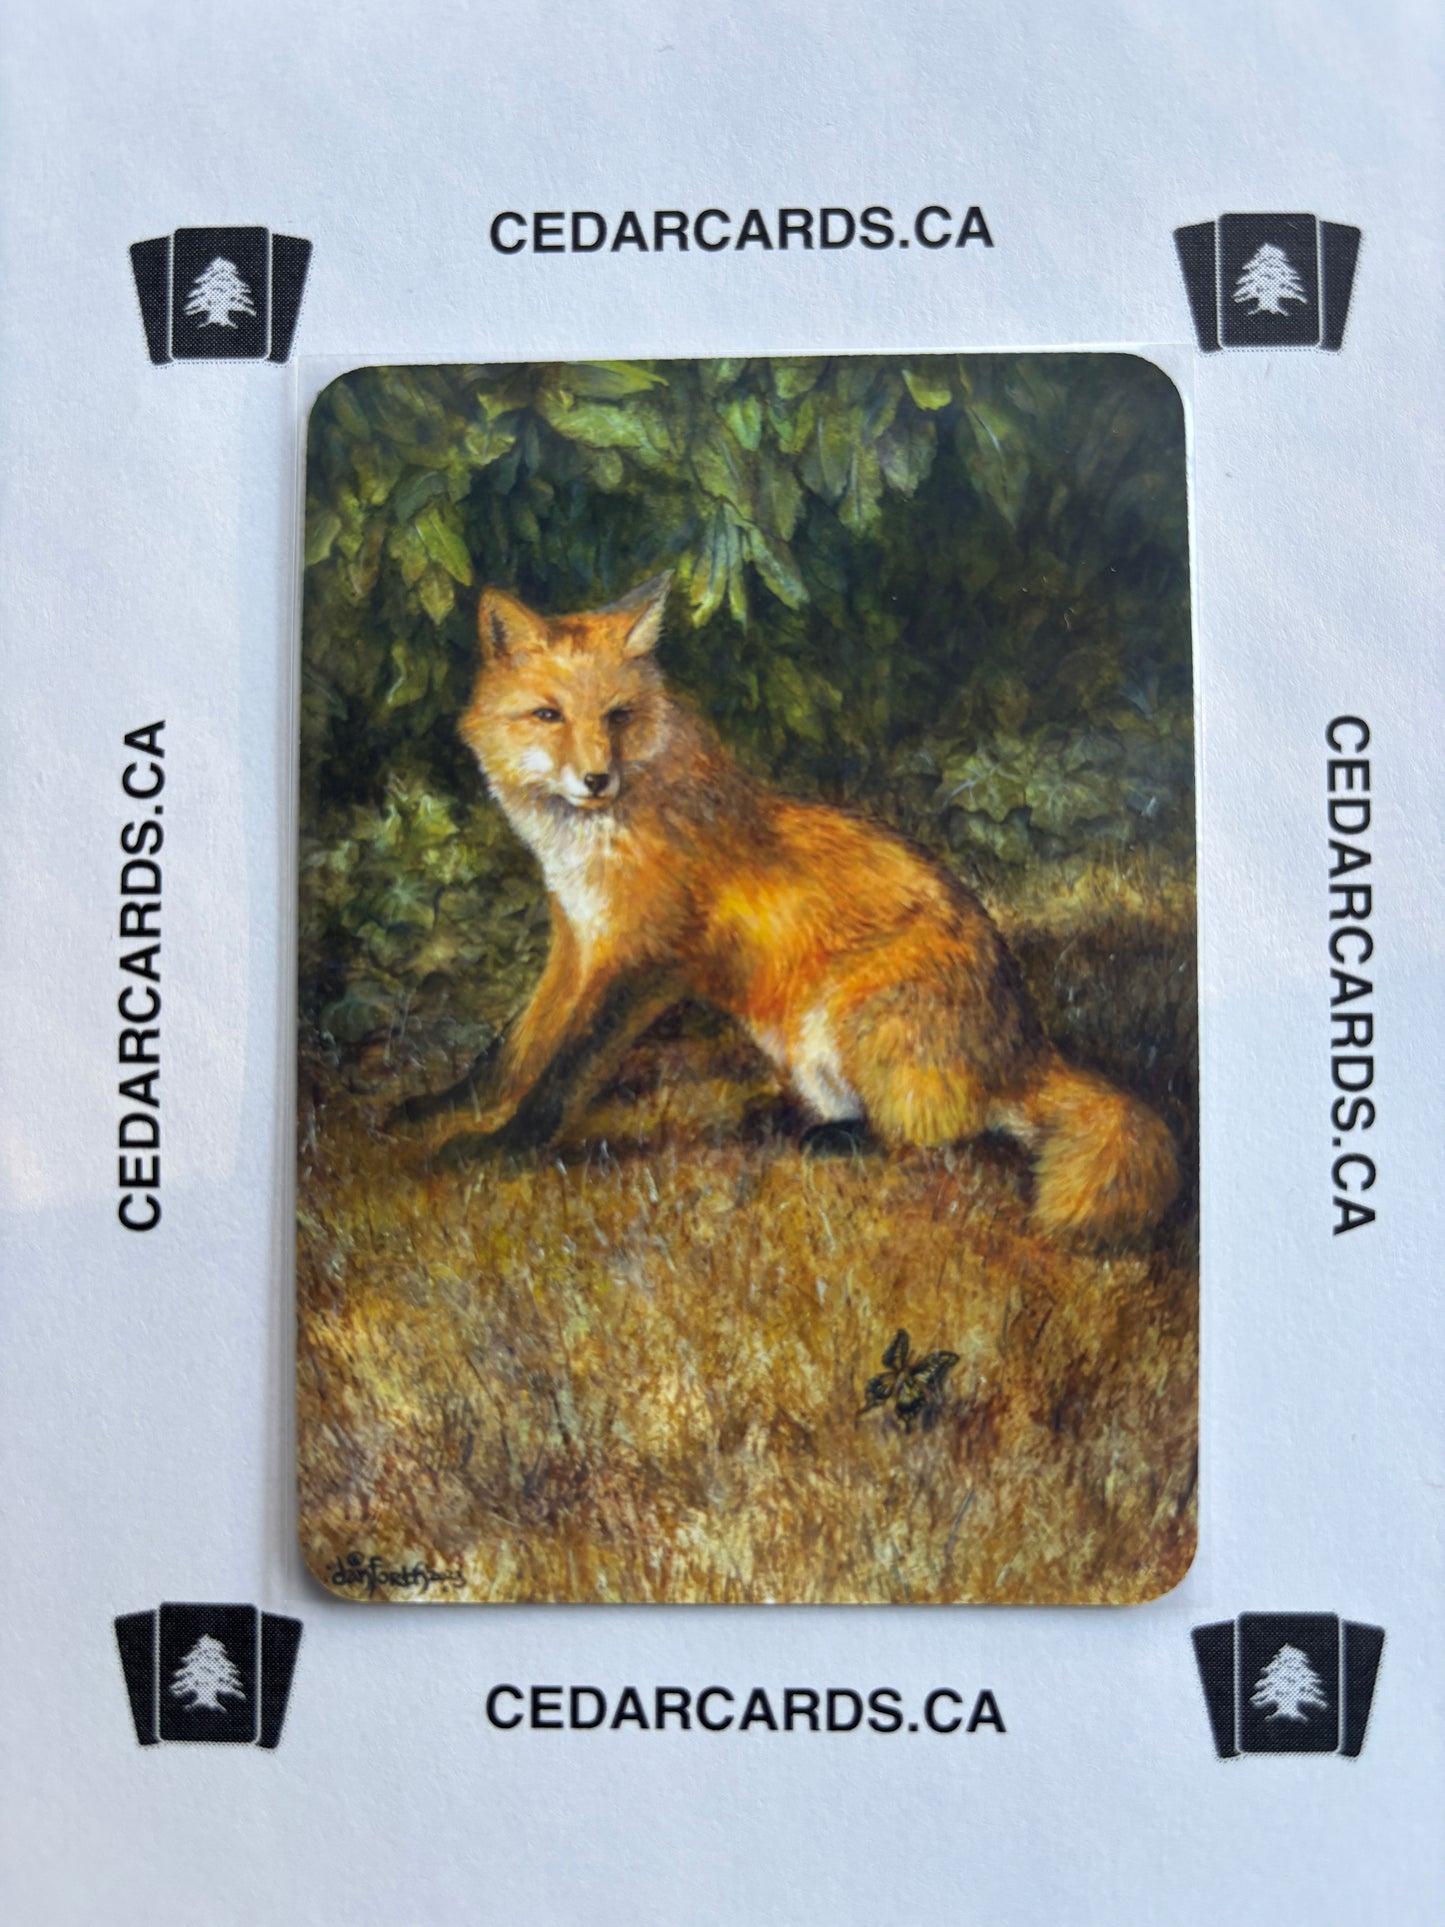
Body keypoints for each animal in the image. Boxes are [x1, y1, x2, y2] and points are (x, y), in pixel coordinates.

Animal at [394, 572, 1179, 1239]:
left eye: (617, 716)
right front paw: (443, 1107)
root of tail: (1025, 1046)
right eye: (548, 715)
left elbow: (564, 1070)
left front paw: (500, 1146)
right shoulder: (577, 940)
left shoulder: (646, 959)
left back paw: (835, 1140)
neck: (600, 836)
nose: (595, 779)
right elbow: (514, 1050)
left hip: (854, 1017)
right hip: (804, 1047)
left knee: (935, 1138)